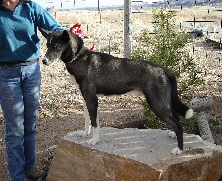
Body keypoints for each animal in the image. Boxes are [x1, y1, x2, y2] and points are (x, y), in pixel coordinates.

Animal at [43, 30, 193, 155]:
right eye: (47, 45)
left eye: (56, 46)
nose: (44, 61)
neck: (80, 58)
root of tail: (163, 69)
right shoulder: (85, 99)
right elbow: (87, 121)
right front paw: (85, 135)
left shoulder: (92, 99)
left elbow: (95, 123)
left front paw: (94, 141)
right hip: (163, 103)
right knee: (176, 118)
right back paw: (173, 135)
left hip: (157, 105)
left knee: (178, 124)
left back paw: (179, 149)